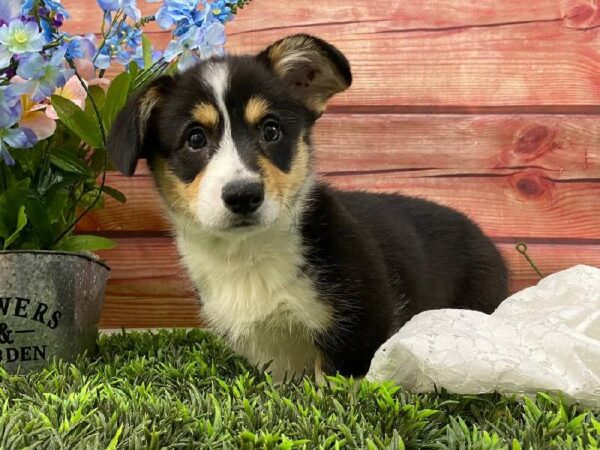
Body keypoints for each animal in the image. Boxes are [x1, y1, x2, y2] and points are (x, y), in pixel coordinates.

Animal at [106, 33, 506, 382]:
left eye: (271, 131)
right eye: (194, 139)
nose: (243, 195)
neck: (248, 254)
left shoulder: (361, 326)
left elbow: (337, 380)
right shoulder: (272, 352)